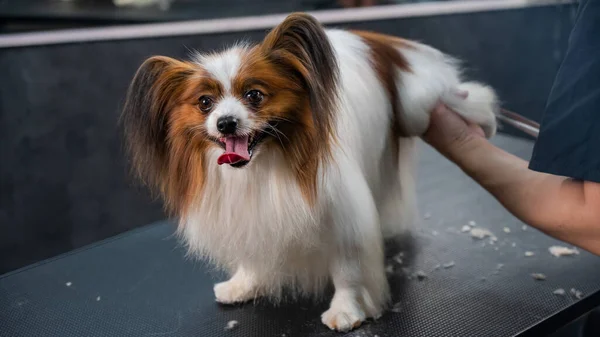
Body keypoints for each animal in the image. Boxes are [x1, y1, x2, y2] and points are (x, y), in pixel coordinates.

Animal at [120, 12, 496, 330]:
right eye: (204, 103)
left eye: (254, 95)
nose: (226, 123)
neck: (264, 166)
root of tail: (384, 42)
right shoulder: (251, 215)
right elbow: (252, 253)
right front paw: (243, 284)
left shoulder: (343, 211)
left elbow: (348, 268)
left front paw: (346, 310)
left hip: (422, 104)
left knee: (470, 99)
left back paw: (485, 118)